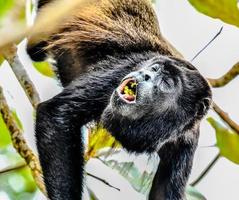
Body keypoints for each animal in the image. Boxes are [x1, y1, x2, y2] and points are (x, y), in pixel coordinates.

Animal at [27, 0, 212, 199]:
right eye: (154, 68)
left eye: (167, 82)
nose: (145, 74)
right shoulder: (122, 70)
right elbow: (56, 114)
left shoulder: (186, 142)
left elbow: (163, 192)